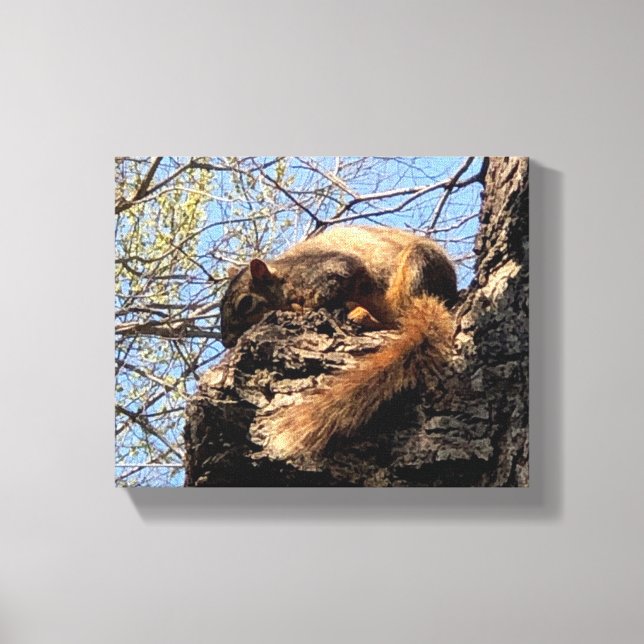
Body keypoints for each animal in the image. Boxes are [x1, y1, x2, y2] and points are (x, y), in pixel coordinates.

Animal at [220, 225, 457, 463]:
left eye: (245, 303)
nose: (226, 341)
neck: (285, 277)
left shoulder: (326, 270)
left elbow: (329, 289)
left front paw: (300, 309)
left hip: (417, 266)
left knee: (398, 315)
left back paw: (366, 317)